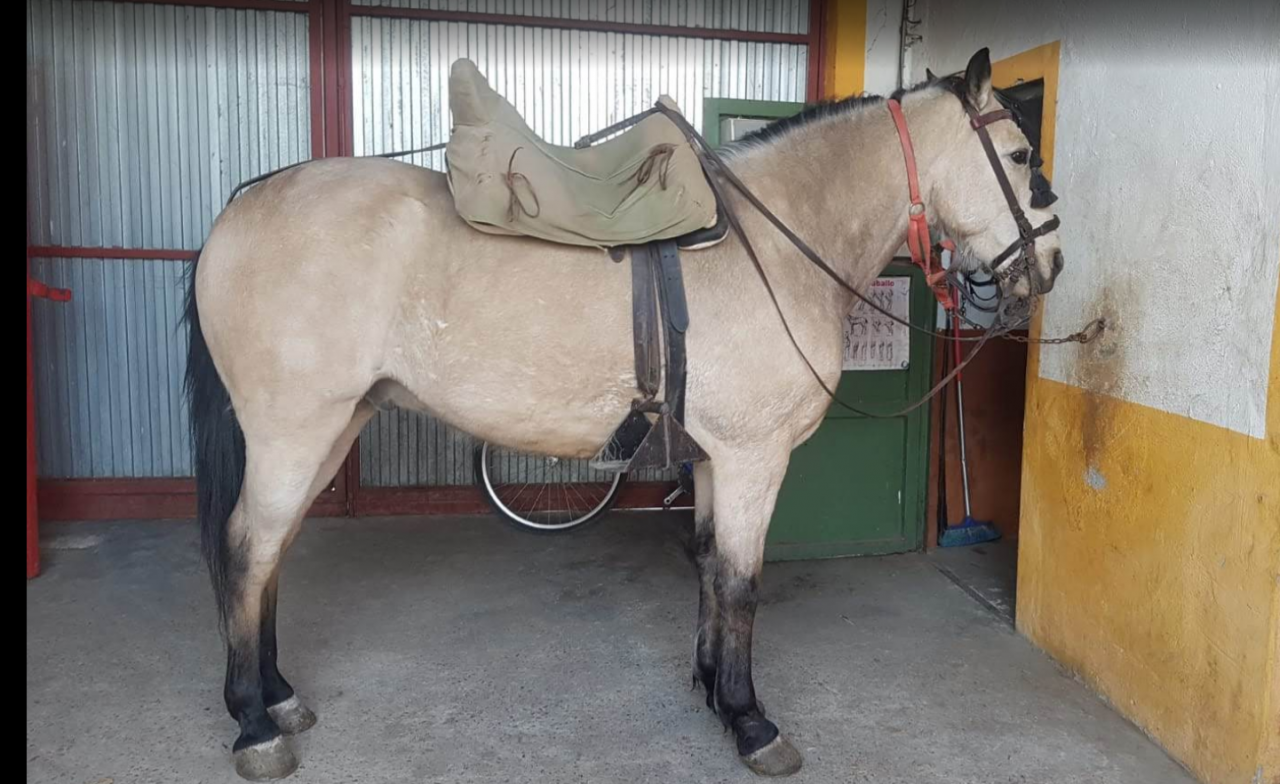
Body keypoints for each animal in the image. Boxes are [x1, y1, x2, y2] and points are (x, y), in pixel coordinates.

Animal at [185, 48, 1064, 780]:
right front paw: (752, 722)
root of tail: (244, 205)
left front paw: (712, 691)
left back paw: (279, 696)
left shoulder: (713, 459)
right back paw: (254, 725)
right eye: (1021, 156)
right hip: (294, 432)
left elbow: (708, 565)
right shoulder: (753, 458)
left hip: (331, 429)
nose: (1051, 263)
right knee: (247, 550)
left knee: (271, 554)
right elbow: (742, 582)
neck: (774, 245)